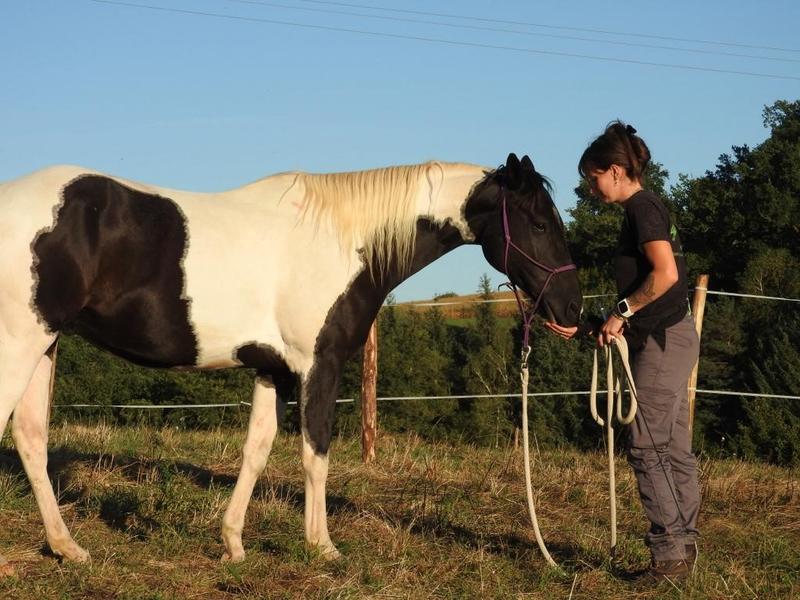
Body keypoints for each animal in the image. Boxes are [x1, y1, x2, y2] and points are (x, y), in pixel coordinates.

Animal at [0, 152, 581, 571]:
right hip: (21, 345)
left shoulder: (273, 370)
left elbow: (256, 452)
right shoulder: (319, 366)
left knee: (31, 438)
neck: (346, 240)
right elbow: (314, 454)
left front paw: (233, 544)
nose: (572, 311)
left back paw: (68, 548)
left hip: (46, 344)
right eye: (537, 222)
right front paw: (322, 547)